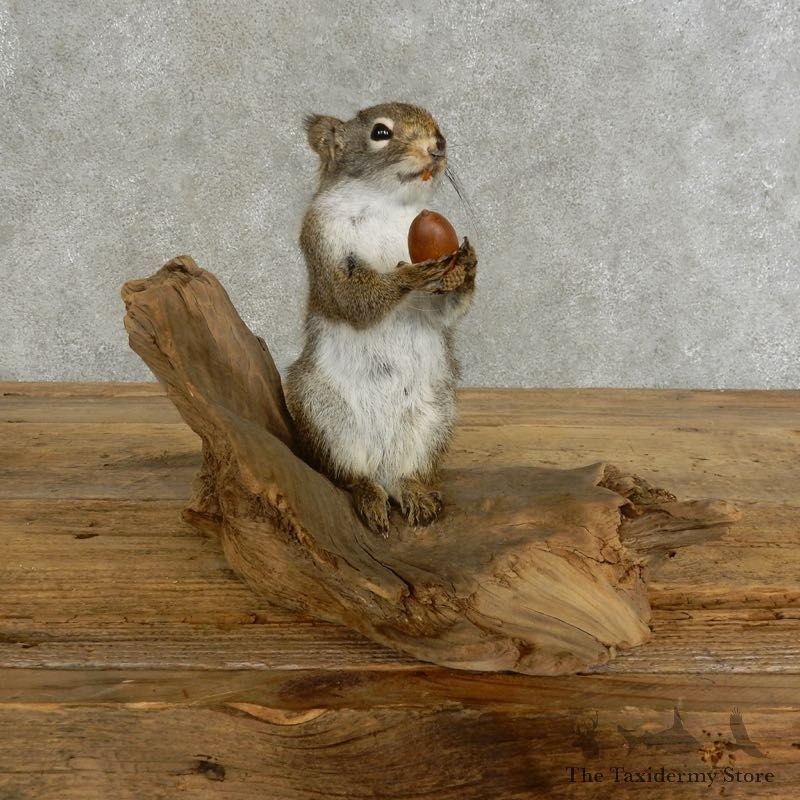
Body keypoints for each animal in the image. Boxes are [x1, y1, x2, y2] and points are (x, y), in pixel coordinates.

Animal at [284, 102, 477, 535]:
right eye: (380, 133)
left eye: (437, 126)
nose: (438, 146)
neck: (388, 204)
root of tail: (383, 466)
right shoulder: (321, 238)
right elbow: (351, 300)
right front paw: (409, 275)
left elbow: (445, 313)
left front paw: (464, 269)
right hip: (325, 417)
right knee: (352, 475)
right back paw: (370, 497)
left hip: (433, 418)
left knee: (407, 474)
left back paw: (414, 493)